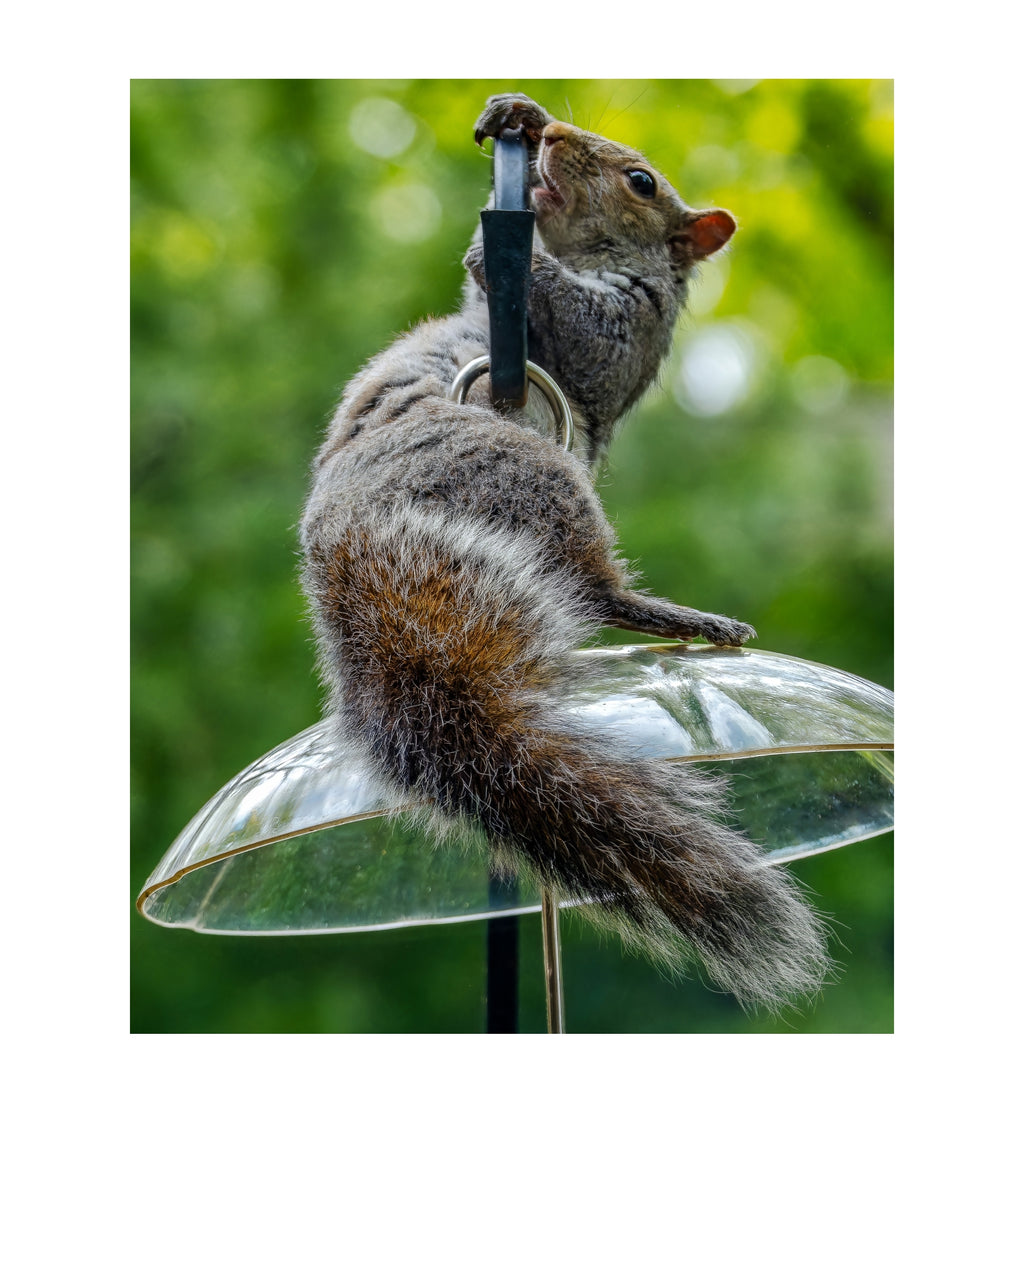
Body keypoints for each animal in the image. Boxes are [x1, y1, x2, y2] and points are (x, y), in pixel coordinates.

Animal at [300, 94, 830, 1009]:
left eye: (641, 181)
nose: (551, 142)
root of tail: (347, 549)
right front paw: (516, 114)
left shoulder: (628, 331)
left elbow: (584, 336)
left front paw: (505, 247)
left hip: (536, 472)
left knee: (595, 587)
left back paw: (685, 619)